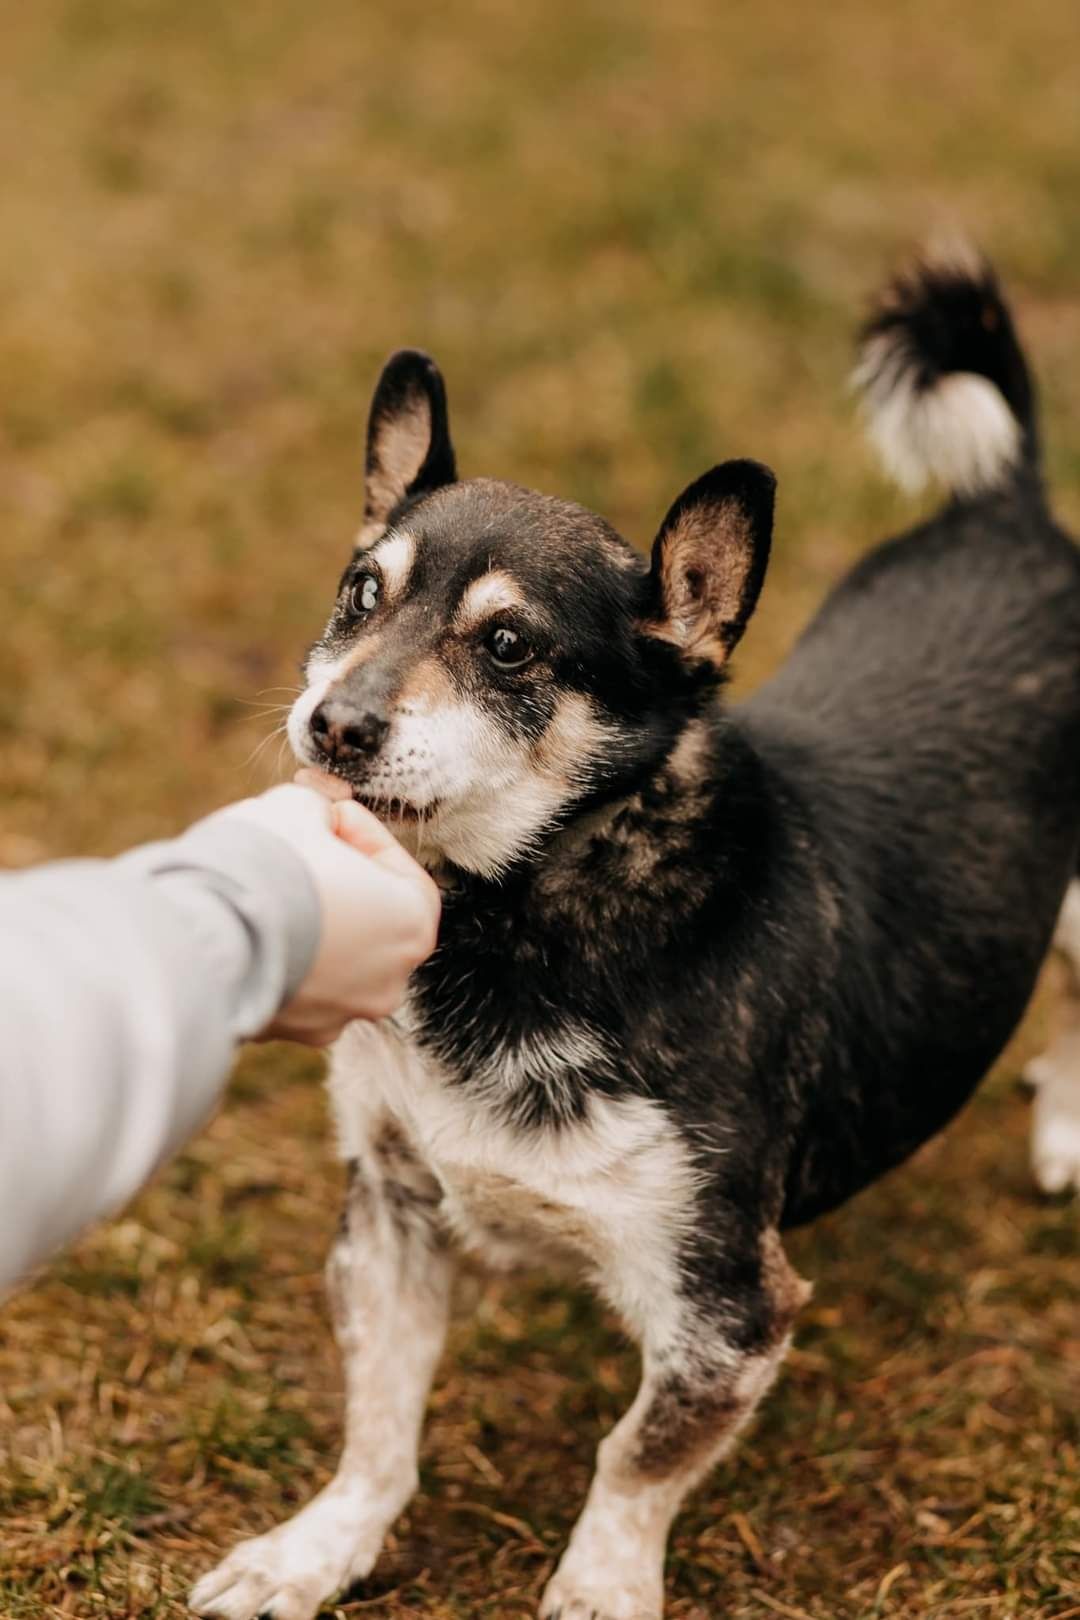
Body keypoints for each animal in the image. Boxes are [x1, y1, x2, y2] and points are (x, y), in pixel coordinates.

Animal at [190, 243, 1080, 1620]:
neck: (515, 918)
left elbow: (635, 1458)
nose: (333, 725)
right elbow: (380, 1421)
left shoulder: (728, 1309)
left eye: (509, 646)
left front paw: (601, 1586)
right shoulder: (391, 1214)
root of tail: (1011, 509)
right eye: (358, 595)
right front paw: (315, 1550)